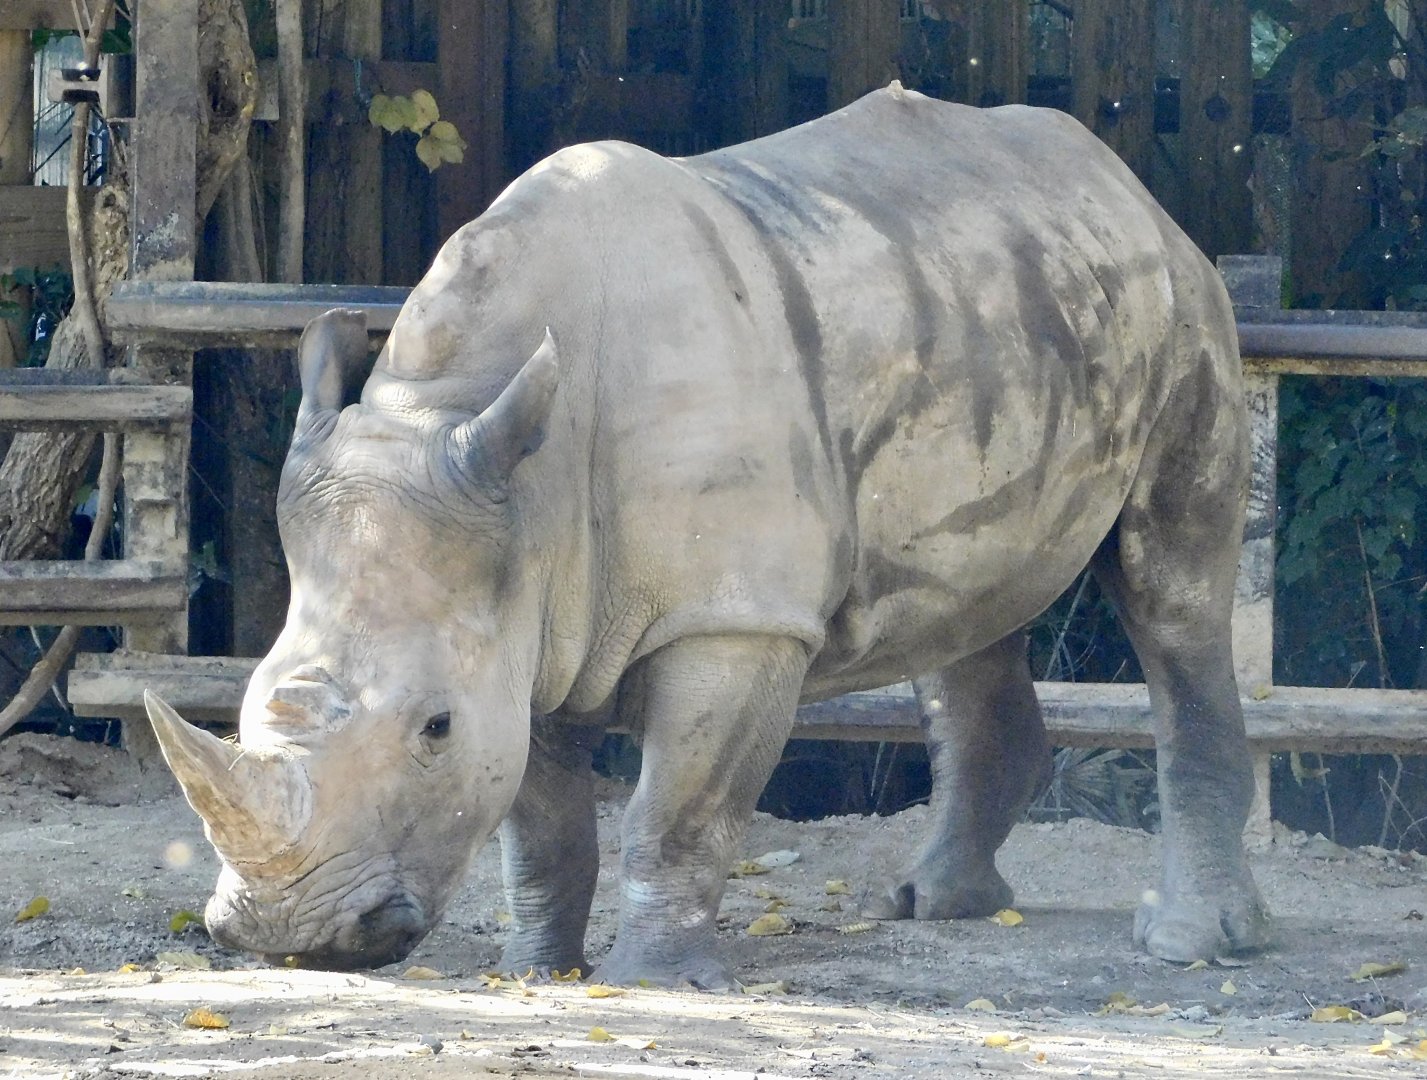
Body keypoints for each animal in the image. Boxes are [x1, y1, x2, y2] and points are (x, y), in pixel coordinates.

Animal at [145, 83, 1269, 987]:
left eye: (433, 729)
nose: (286, 935)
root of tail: (1121, 181)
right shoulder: (523, 610)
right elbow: (539, 822)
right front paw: (535, 971)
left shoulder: (732, 618)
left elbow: (673, 812)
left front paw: (656, 982)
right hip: (997, 303)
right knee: (965, 607)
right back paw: (933, 906)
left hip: (1184, 305)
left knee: (1172, 584)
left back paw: (1189, 944)